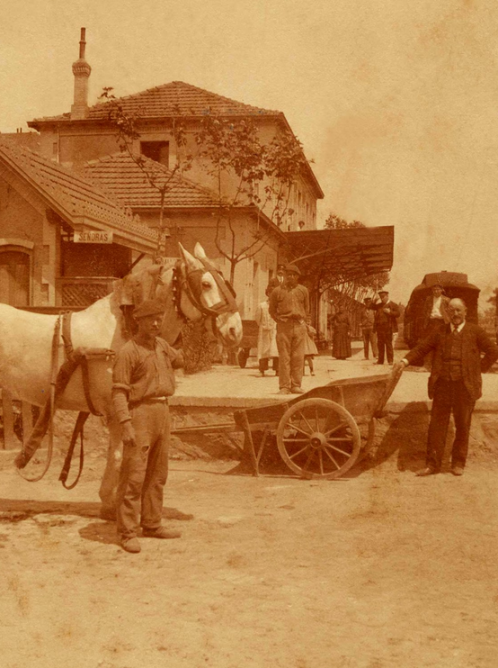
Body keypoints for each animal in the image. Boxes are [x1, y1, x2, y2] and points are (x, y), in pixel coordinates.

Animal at [0, 243, 242, 516]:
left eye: (225, 281)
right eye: (205, 284)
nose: (236, 330)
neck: (124, 329)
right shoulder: (116, 411)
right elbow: (118, 457)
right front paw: (112, 504)